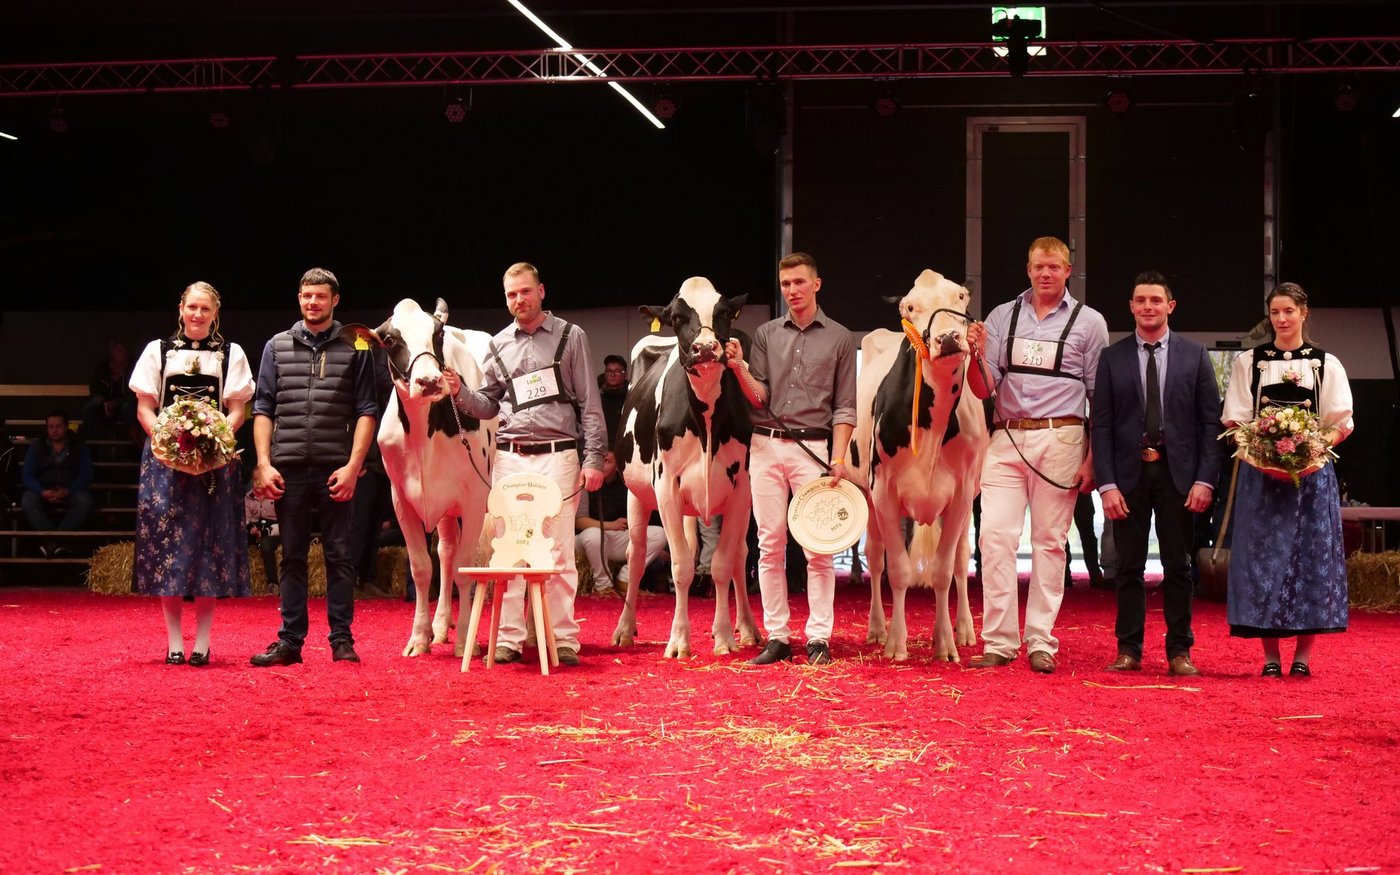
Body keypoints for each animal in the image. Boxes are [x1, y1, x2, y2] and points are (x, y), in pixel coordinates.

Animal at [348, 299, 496, 658]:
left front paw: (465, 642)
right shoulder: (401, 499)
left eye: (438, 333)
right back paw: (442, 626)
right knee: (445, 551)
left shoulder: (475, 498)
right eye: (389, 340)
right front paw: (420, 637)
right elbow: (421, 567)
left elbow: (464, 568)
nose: (429, 380)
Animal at [611, 277, 761, 658]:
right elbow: (680, 566)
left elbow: (723, 564)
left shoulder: (741, 491)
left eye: (724, 313)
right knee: (636, 556)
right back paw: (625, 628)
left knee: (736, 556)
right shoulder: (666, 488)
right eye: (677, 317)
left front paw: (724, 636)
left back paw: (747, 627)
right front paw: (679, 639)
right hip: (637, 496)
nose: (705, 347)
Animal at [849, 270, 990, 662]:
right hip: (866, 494)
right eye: (910, 307)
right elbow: (897, 569)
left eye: (961, 296)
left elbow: (944, 570)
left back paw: (965, 629)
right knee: (875, 557)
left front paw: (945, 643)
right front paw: (896, 643)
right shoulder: (882, 492)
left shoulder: (962, 494)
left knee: (961, 560)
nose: (948, 338)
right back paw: (877, 629)